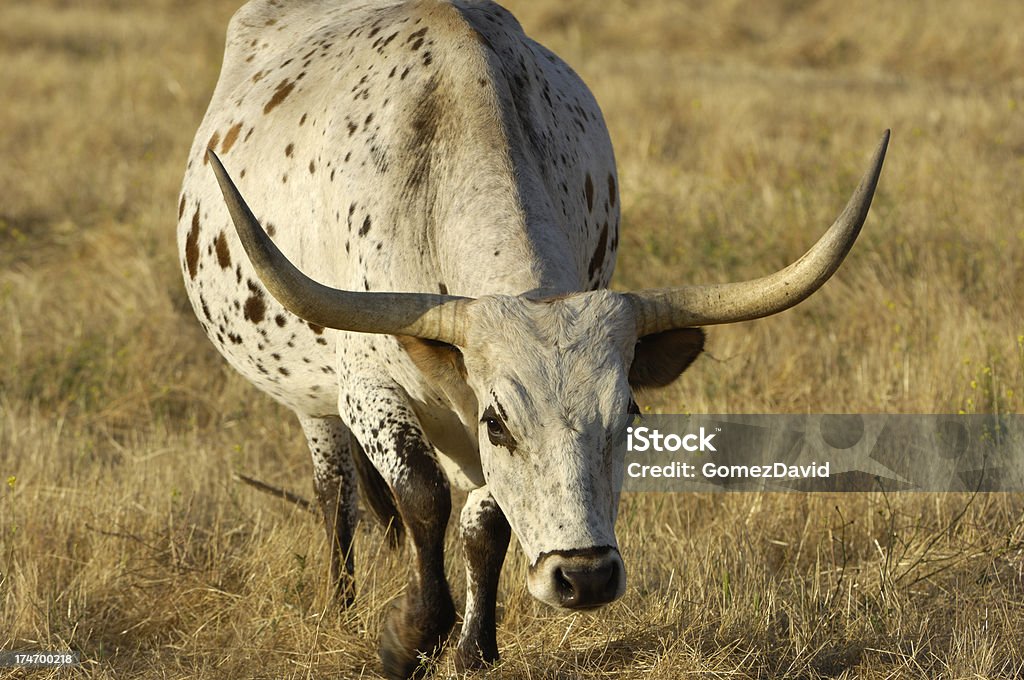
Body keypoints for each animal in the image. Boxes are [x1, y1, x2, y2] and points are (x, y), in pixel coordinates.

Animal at [178, 0, 888, 675]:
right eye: (498, 424)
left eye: (629, 417)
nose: (584, 576)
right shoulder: (368, 385)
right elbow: (423, 496)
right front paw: (409, 637)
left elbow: (485, 523)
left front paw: (474, 649)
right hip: (312, 397)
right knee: (336, 496)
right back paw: (341, 605)